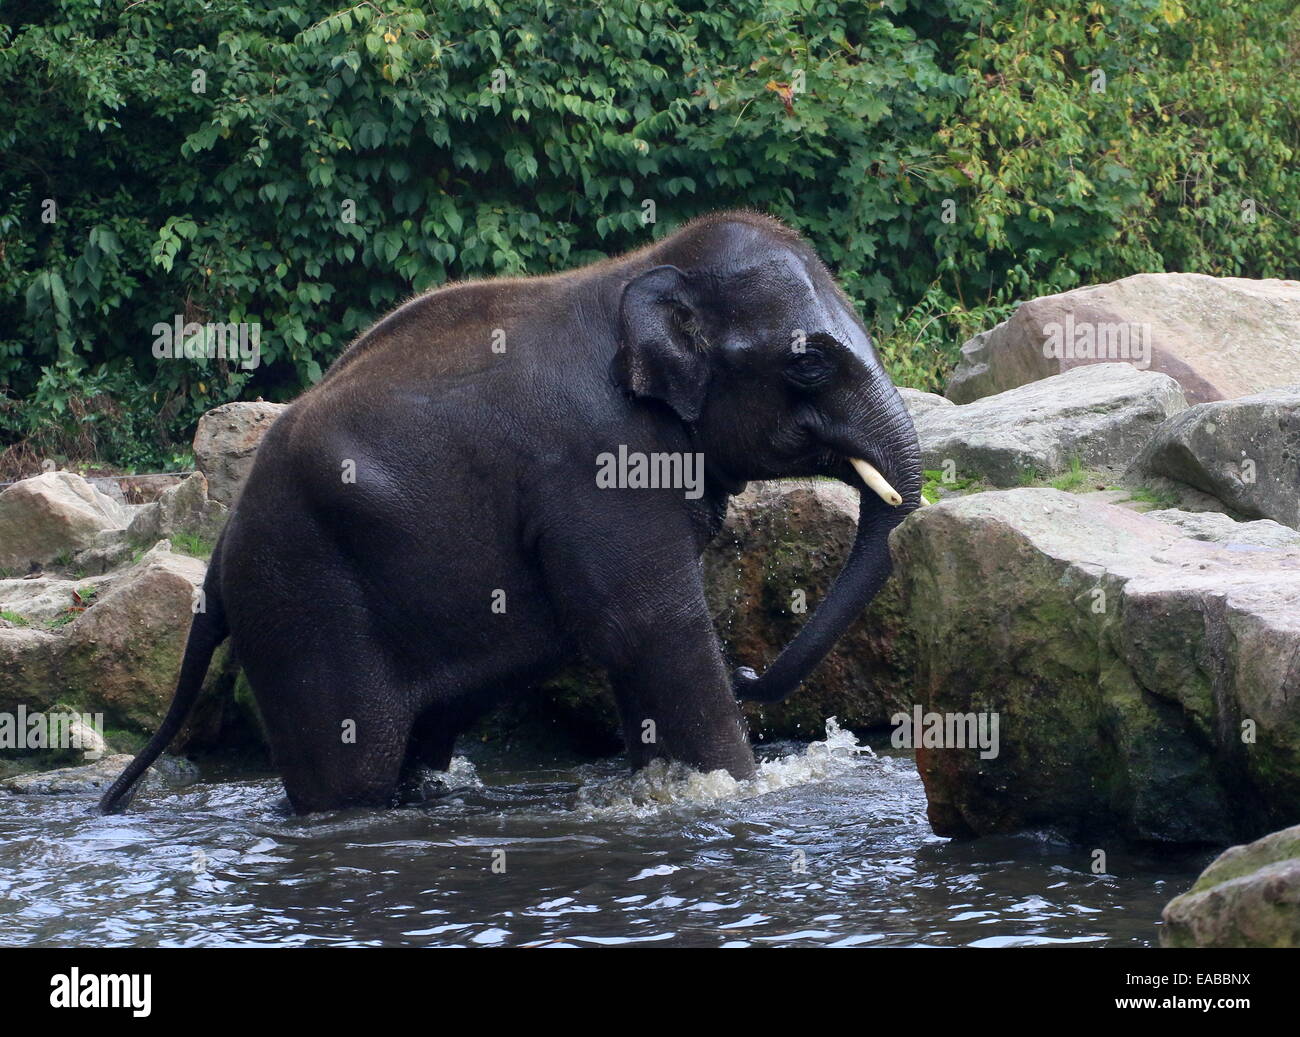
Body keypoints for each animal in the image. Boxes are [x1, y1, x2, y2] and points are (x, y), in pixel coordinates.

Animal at [101, 206, 925, 816]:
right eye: (808, 364)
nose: (750, 666)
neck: (641, 269)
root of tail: (218, 549)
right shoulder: (599, 463)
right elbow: (646, 624)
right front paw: (733, 792)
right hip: (300, 594)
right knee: (349, 769)